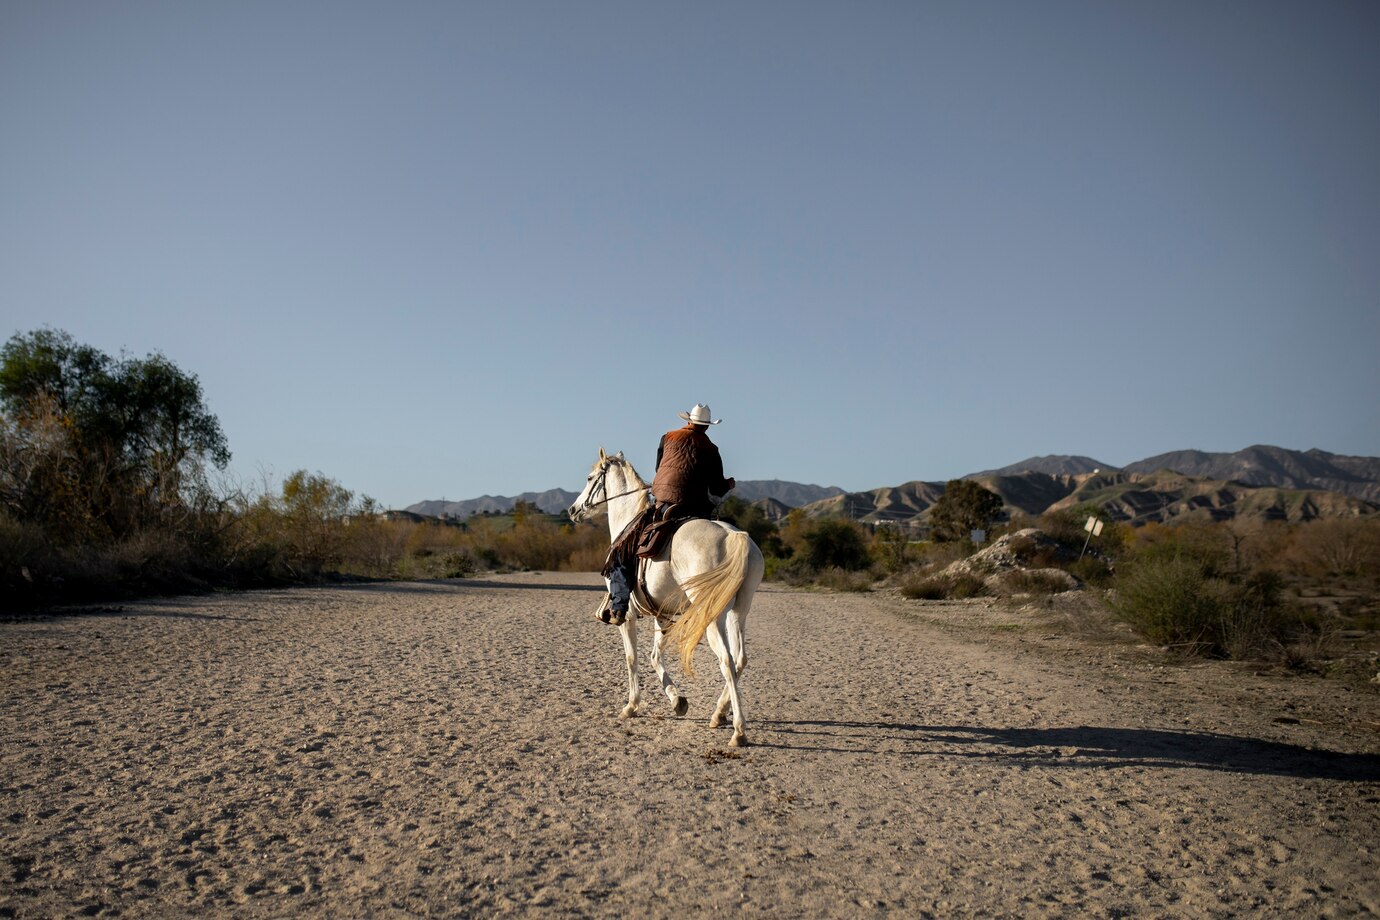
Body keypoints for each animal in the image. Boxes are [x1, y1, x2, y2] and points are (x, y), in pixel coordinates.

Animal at [567, 448, 764, 747]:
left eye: (590, 478)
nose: (573, 510)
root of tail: (734, 537)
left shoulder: (626, 614)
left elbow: (632, 658)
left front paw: (631, 706)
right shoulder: (663, 615)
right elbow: (654, 655)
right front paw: (677, 700)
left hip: (712, 617)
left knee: (727, 661)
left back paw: (738, 730)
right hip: (738, 611)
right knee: (740, 659)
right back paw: (719, 713)